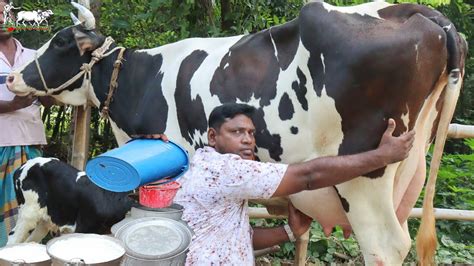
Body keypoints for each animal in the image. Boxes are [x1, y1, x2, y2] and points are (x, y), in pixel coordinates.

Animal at [5, 1, 468, 264]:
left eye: (61, 43)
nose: (11, 78)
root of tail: (420, 12)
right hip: (408, 174)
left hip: (363, 182)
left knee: (384, 247)